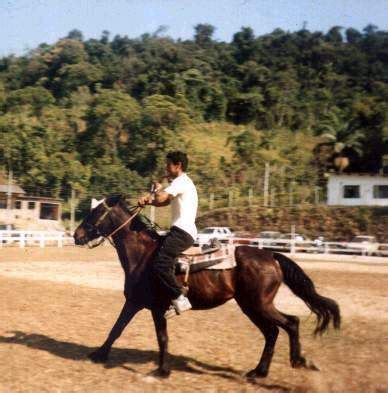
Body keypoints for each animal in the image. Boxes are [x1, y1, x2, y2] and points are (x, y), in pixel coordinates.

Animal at [73, 194, 340, 378]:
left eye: (96, 212)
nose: (76, 235)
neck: (143, 256)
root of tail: (271, 255)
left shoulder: (155, 308)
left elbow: (161, 338)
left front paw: (161, 371)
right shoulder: (135, 302)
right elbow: (117, 328)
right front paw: (98, 354)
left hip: (259, 304)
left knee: (290, 323)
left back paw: (297, 361)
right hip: (251, 306)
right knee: (272, 332)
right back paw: (259, 372)